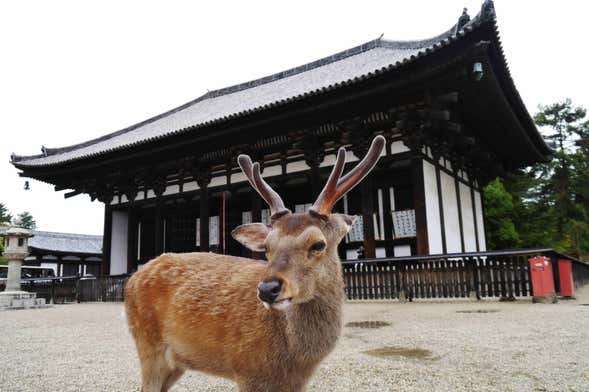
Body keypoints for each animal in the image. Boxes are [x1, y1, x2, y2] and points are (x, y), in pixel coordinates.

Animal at [125, 136, 386, 392]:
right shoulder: (247, 371)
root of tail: (133, 278)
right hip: (148, 344)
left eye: (318, 244)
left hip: (176, 361)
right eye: (267, 247)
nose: (267, 289)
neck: (294, 361)